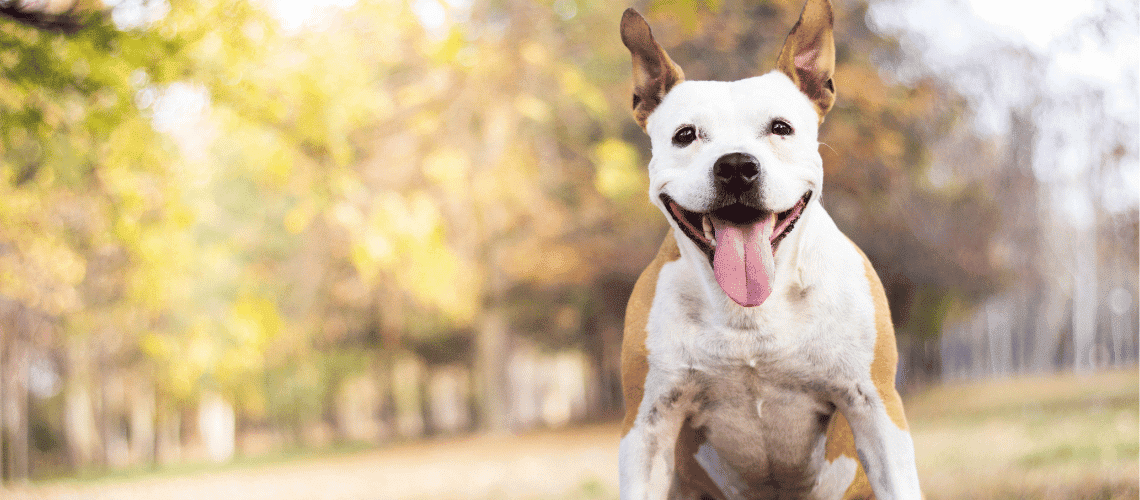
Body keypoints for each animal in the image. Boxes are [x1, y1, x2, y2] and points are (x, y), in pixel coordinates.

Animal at [620, 0, 921, 500]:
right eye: (685, 135)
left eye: (781, 128)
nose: (736, 166)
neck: (751, 311)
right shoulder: (647, 424)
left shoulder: (874, 405)